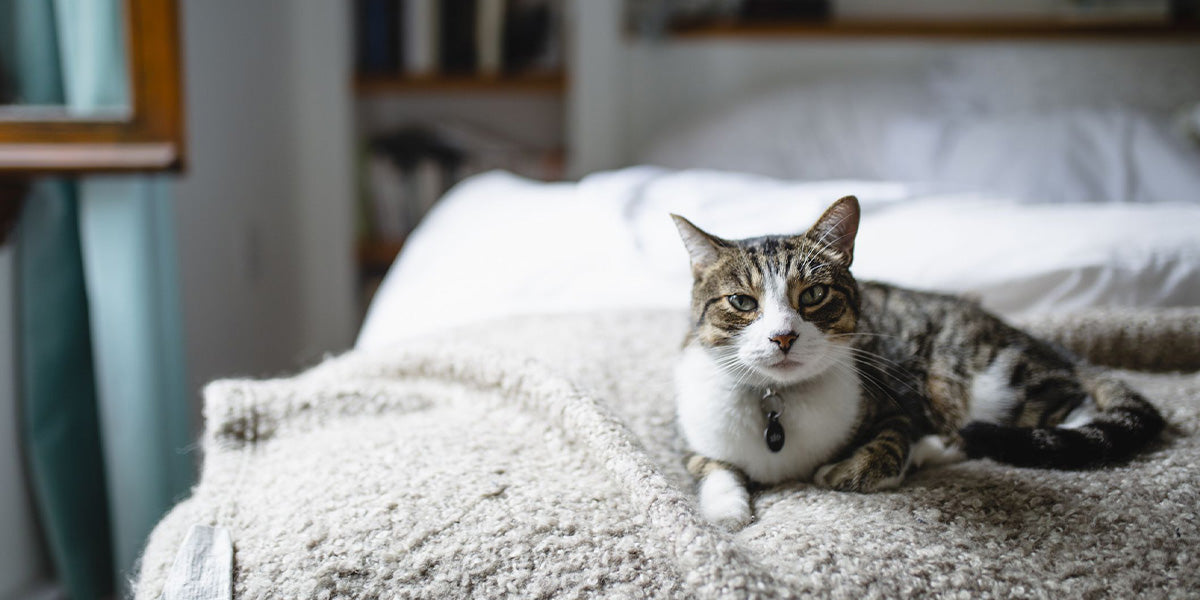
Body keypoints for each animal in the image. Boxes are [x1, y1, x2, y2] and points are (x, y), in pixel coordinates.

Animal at [676, 194, 1161, 528]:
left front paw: (845, 470)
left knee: (1058, 415)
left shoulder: (894, 400)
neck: (779, 399)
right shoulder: (690, 435)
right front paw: (725, 510)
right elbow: (709, 465)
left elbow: (889, 445)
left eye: (814, 294)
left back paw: (939, 447)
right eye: (741, 301)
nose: (783, 336)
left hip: (986, 378)